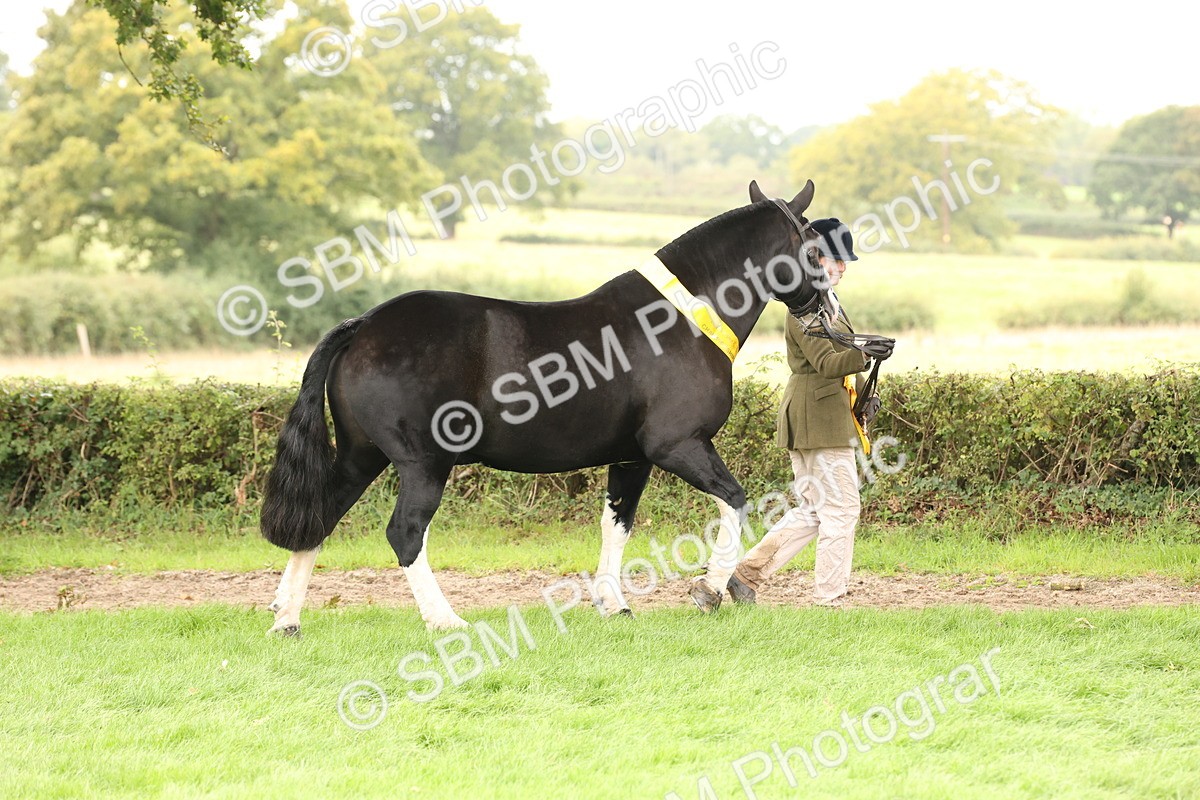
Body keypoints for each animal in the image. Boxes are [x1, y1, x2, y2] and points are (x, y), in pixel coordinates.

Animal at [261, 179, 834, 635]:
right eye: (812, 247)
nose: (822, 307)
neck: (680, 318)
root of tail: (364, 326)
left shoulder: (632, 458)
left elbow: (617, 524)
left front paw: (613, 603)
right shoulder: (677, 445)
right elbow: (734, 501)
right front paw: (709, 589)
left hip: (362, 456)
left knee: (320, 518)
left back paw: (287, 619)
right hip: (423, 464)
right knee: (404, 533)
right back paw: (446, 620)